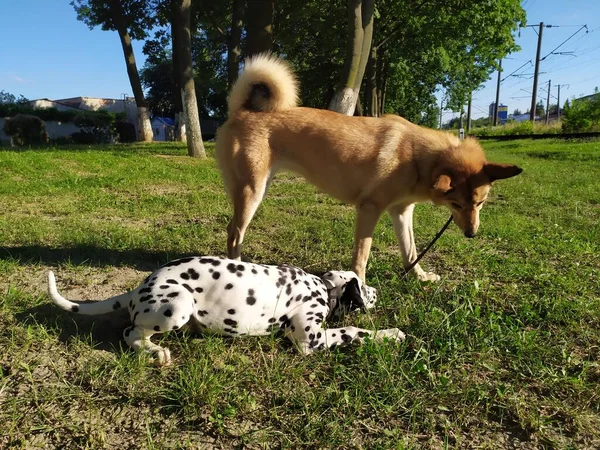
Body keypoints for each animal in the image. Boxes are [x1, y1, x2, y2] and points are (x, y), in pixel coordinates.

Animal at [47, 256, 404, 366]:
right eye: (366, 286)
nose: (378, 291)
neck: (323, 289)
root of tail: (139, 288)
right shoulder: (310, 339)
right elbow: (354, 331)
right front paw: (391, 334)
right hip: (176, 306)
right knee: (129, 332)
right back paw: (155, 352)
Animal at [214, 54, 520, 282]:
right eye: (456, 204)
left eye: (480, 203)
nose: (472, 234)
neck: (418, 157)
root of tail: (243, 110)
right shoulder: (369, 209)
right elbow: (362, 255)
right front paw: (359, 286)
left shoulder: (402, 213)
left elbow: (410, 251)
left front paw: (419, 277)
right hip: (252, 192)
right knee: (234, 234)